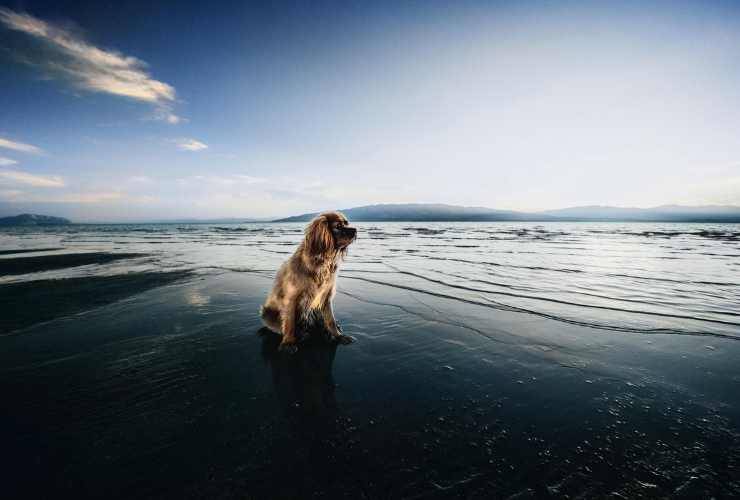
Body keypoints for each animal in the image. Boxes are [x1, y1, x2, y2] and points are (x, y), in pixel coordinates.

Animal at [260, 211, 356, 352]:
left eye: (346, 223)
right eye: (338, 226)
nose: (355, 230)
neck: (321, 262)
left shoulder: (326, 298)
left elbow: (330, 320)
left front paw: (338, 335)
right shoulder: (291, 298)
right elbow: (289, 322)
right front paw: (288, 342)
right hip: (267, 313)